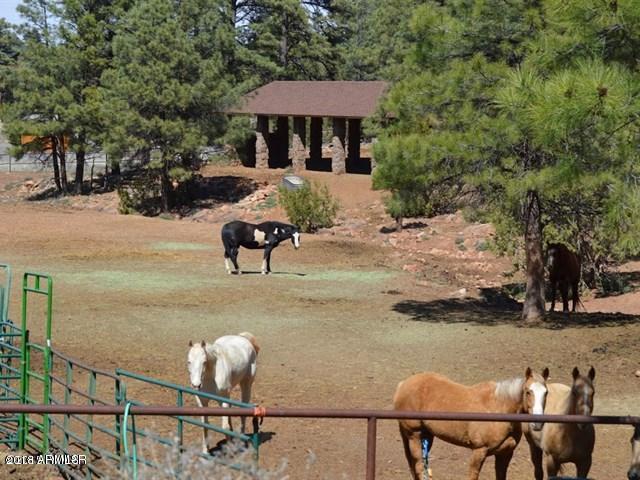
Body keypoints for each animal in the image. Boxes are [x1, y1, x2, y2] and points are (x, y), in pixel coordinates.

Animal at [393, 367, 550, 480]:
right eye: (528, 391)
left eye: (546, 392)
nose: (537, 424)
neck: (499, 408)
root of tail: (403, 384)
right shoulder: (479, 451)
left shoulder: (505, 453)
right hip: (414, 435)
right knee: (418, 465)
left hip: (426, 436)